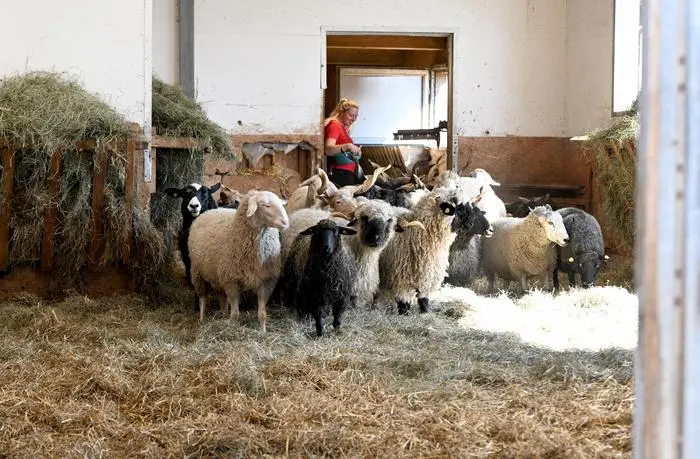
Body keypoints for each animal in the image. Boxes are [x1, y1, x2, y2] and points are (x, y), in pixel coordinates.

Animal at [187, 190, 290, 330]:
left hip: (219, 276)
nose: (286, 223)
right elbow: (235, 314)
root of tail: (211, 211)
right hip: (198, 273)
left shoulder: (266, 282)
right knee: (202, 299)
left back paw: (223, 314)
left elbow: (262, 314)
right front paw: (233, 329)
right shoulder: (232, 282)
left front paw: (263, 331)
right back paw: (202, 319)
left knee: (222, 297)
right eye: (265, 205)